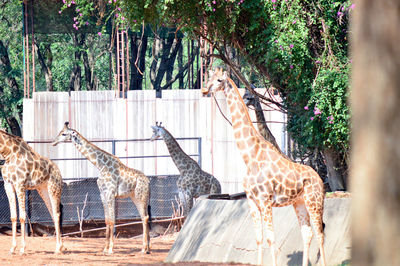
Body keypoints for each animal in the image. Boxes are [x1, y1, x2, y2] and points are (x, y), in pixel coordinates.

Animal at [52, 122, 151, 254]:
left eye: (63, 134)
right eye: (59, 132)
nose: (53, 142)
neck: (100, 166)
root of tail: (148, 181)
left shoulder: (110, 193)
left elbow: (112, 220)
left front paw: (111, 249)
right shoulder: (103, 194)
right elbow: (107, 220)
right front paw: (105, 248)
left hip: (141, 196)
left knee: (145, 217)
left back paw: (144, 249)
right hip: (135, 197)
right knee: (144, 217)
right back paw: (148, 248)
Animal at [202, 68, 326, 266]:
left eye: (219, 80)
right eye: (209, 78)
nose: (205, 90)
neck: (249, 156)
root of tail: (320, 180)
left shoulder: (265, 200)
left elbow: (271, 239)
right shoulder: (252, 201)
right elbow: (259, 238)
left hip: (314, 202)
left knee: (320, 234)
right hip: (299, 203)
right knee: (307, 234)